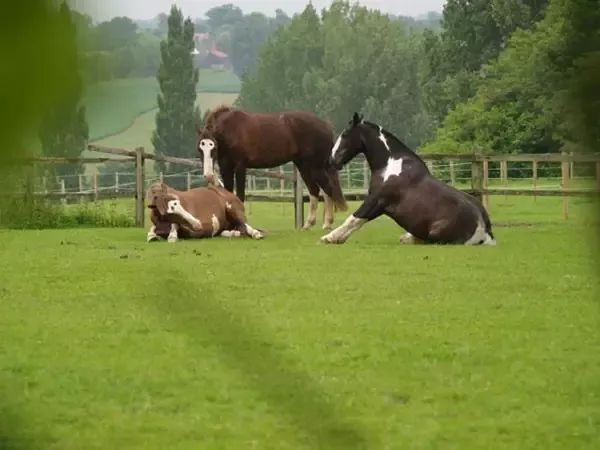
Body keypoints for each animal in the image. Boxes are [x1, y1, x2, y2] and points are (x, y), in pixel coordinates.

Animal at [198, 106, 346, 229]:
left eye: (213, 148)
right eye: (200, 149)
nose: (208, 175)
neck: (231, 129)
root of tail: (326, 126)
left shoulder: (240, 167)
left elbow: (240, 195)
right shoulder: (226, 168)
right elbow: (228, 194)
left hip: (315, 167)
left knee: (327, 188)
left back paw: (327, 223)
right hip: (304, 166)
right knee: (315, 190)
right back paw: (309, 224)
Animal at [322, 112, 494, 246]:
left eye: (345, 134)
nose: (331, 159)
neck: (390, 165)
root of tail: (484, 230)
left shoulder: (376, 201)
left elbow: (354, 219)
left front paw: (330, 237)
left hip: (436, 234)